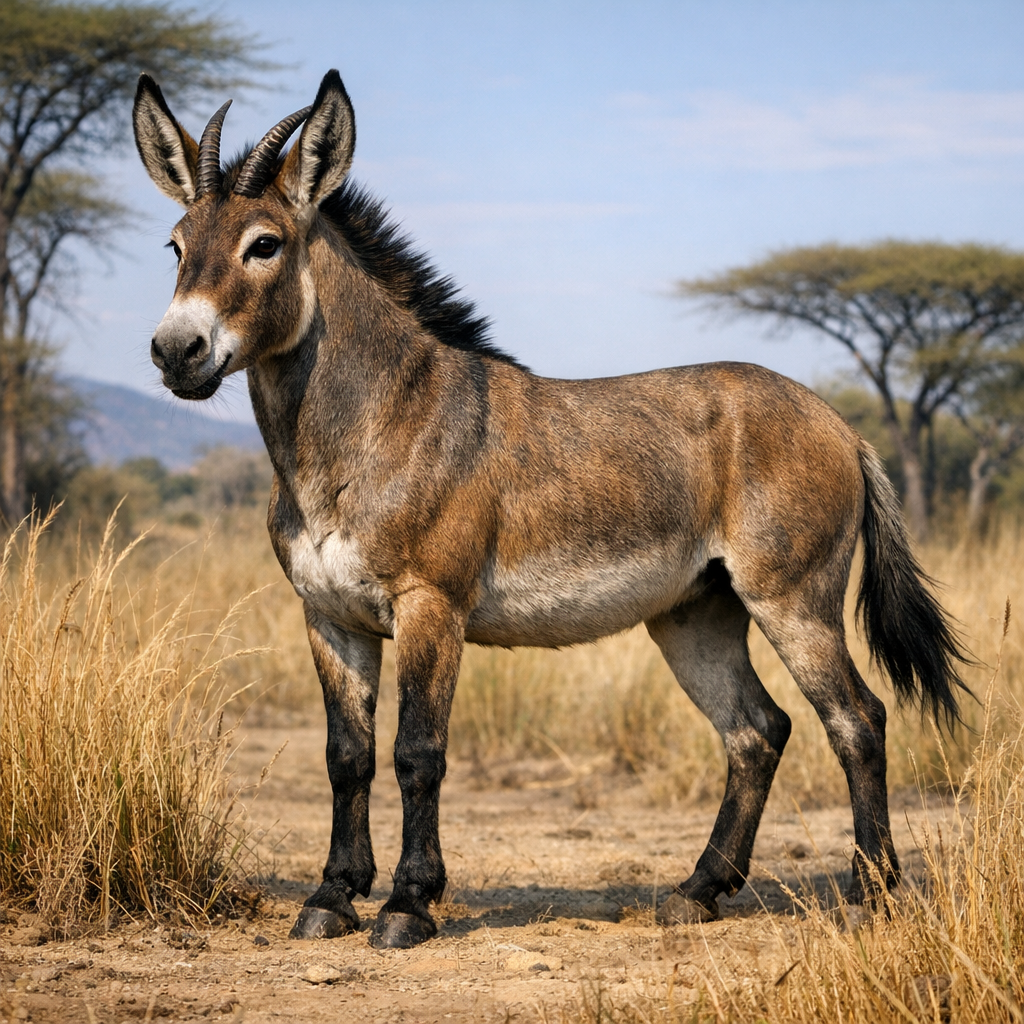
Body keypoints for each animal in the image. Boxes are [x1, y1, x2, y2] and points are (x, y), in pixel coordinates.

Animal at [133, 70, 969, 949]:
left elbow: (417, 751)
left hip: (793, 602)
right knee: (757, 731)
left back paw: (871, 892)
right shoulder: (329, 616)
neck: (370, 429)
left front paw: (406, 905)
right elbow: (346, 755)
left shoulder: (431, 606)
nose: (176, 351)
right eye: (176, 246)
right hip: (695, 615)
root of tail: (839, 423)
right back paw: (699, 891)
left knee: (858, 720)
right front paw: (331, 897)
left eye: (264, 244)